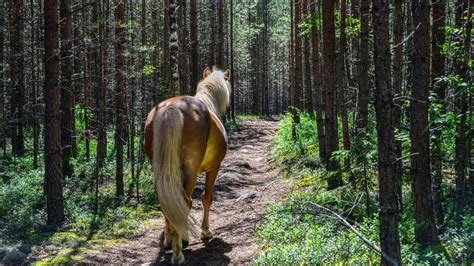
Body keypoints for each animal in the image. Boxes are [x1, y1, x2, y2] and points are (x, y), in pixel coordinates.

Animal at [145, 67, 232, 264]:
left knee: (167, 200)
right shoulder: (214, 167)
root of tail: (171, 108)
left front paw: (171, 237)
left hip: (162, 168)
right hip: (191, 169)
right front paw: (205, 232)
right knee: (185, 201)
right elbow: (206, 198)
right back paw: (178, 253)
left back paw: (171, 241)